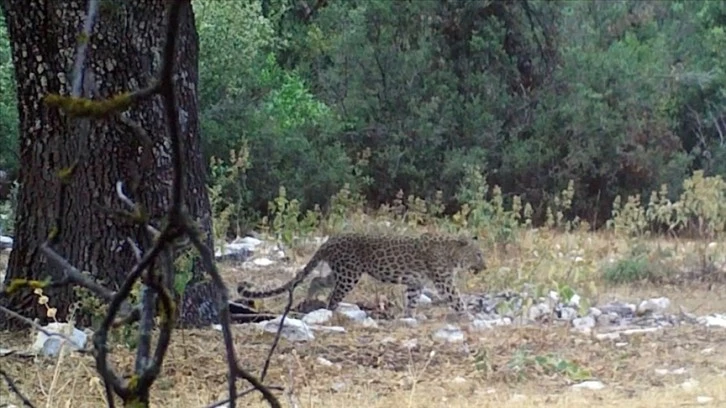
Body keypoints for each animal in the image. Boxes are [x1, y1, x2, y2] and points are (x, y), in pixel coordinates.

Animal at [239, 231, 486, 318]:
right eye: (478, 254)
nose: (485, 267)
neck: (452, 252)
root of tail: (329, 240)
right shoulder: (443, 281)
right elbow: (456, 298)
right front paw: (468, 316)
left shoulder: (416, 283)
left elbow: (412, 299)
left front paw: (409, 316)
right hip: (349, 275)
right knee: (333, 297)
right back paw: (331, 313)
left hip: (341, 272)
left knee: (317, 280)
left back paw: (310, 302)